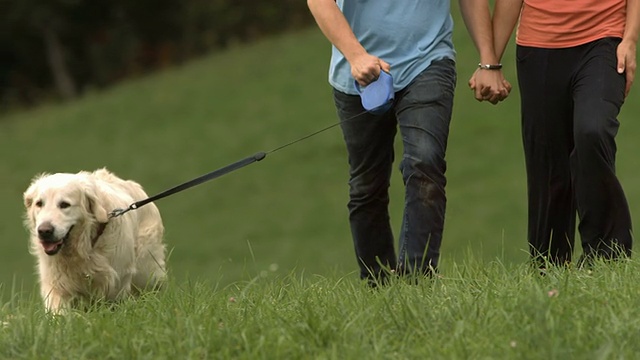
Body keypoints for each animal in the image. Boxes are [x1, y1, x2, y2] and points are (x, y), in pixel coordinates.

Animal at [23, 169, 166, 312]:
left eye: (64, 205)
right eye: (39, 203)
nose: (44, 231)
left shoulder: (116, 283)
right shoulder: (57, 285)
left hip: (145, 269)